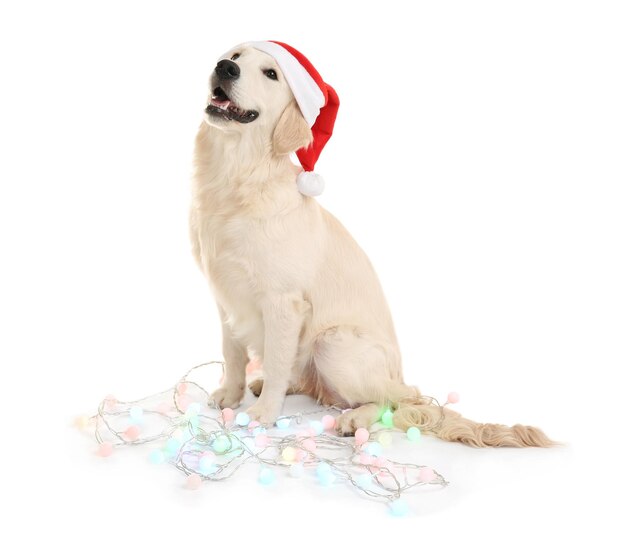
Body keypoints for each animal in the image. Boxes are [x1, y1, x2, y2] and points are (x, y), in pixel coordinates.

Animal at [188, 40, 548, 444]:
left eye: (271, 74)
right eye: (235, 57)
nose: (224, 68)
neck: (236, 178)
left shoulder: (283, 301)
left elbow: (278, 361)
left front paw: (263, 413)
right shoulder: (225, 295)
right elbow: (232, 353)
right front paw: (231, 393)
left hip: (332, 343)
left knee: (397, 399)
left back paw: (354, 418)